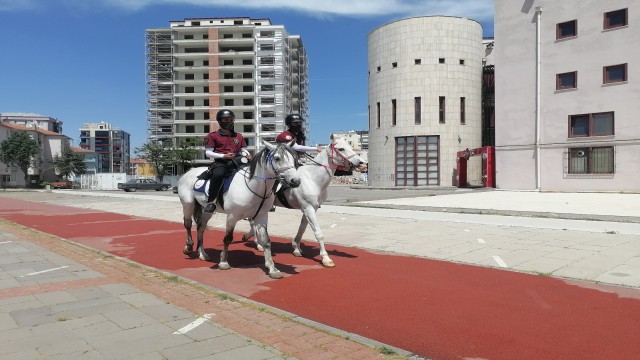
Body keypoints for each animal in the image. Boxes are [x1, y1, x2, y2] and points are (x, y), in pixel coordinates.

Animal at [176, 140, 302, 278]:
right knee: (188, 224)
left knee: (200, 227)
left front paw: (272, 268)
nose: (295, 181)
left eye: (294, 158)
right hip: (188, 204)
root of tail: (189, 172)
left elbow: (266, 241)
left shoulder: (262, 216)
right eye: (277, 158)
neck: (253, 187)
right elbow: (228, 238)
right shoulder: (232, 216)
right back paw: (188, 247)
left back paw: (202, 253)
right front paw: (223, 262)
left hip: (205, 210)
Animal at [244, 135, 368, 268]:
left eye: (350, 146)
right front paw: (326, 258)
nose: (362, 163)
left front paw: (296, 248)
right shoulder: (309, 209)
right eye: (341, 149)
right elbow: (318, 233)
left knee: (253, 223)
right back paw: (258, 243)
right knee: (253, 223)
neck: (312, 179)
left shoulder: (309, 209)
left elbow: (302, 228)